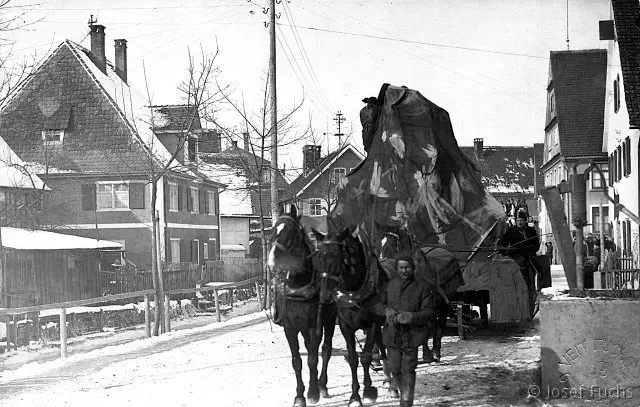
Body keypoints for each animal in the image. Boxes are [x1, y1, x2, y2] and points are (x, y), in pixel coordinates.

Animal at [266, 207, 338, 407]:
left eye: (292, 233)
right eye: (272, 231)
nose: (272, 261)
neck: (298, 285)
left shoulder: (314, 327)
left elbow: (313, 359)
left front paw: (312, 392)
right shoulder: (290, 329)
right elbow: (297, 361)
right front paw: (299, 395)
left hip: (329, 319)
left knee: (326, 350)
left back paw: (322, 385)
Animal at [312, 226, 392, 407]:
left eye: (337, 256)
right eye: (318, 257)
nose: (324, 295)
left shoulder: (373, 324)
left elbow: (366, 356)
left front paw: (368, 390)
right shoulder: (345, 326)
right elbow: (354, 358)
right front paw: (355, 396)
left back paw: (390, 382)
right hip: (328, 317)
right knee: (326, 348)